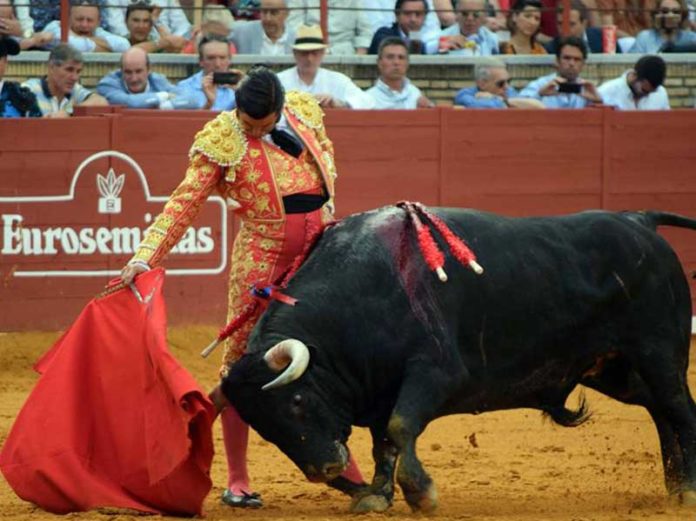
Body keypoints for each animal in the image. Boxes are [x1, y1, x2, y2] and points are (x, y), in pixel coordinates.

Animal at [218, 207, 696, 512]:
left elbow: (400, 427)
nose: (325, 468)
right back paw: (673, 485)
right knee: (659, 410)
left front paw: (421, 494)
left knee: (680, 409)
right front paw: (377, 495)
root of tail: (639, 222)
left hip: (657, 353)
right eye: (263, 426)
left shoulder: (437, 374)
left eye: (297, 401)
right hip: (614, 369)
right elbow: (382, 443)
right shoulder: (380, 389)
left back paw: (688, 488)